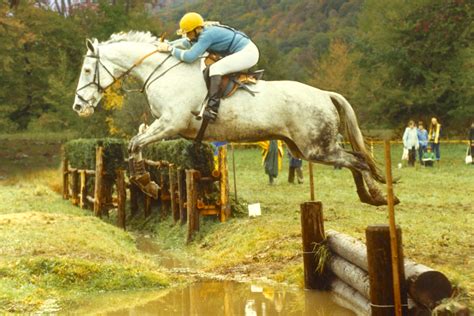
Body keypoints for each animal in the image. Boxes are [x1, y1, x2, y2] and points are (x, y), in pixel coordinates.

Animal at [73, 31, 392, 205]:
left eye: (87, 71)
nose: (78, 107)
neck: (163, 71)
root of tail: (324, 94)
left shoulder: (171, 124)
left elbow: (136, 143)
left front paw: (146, 182)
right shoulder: (164, 126)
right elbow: (135, 143)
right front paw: (146, 182)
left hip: (317, 148)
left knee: (358, 160)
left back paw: (379, 196)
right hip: (303, 148)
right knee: (352, 161)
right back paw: (369, 196)